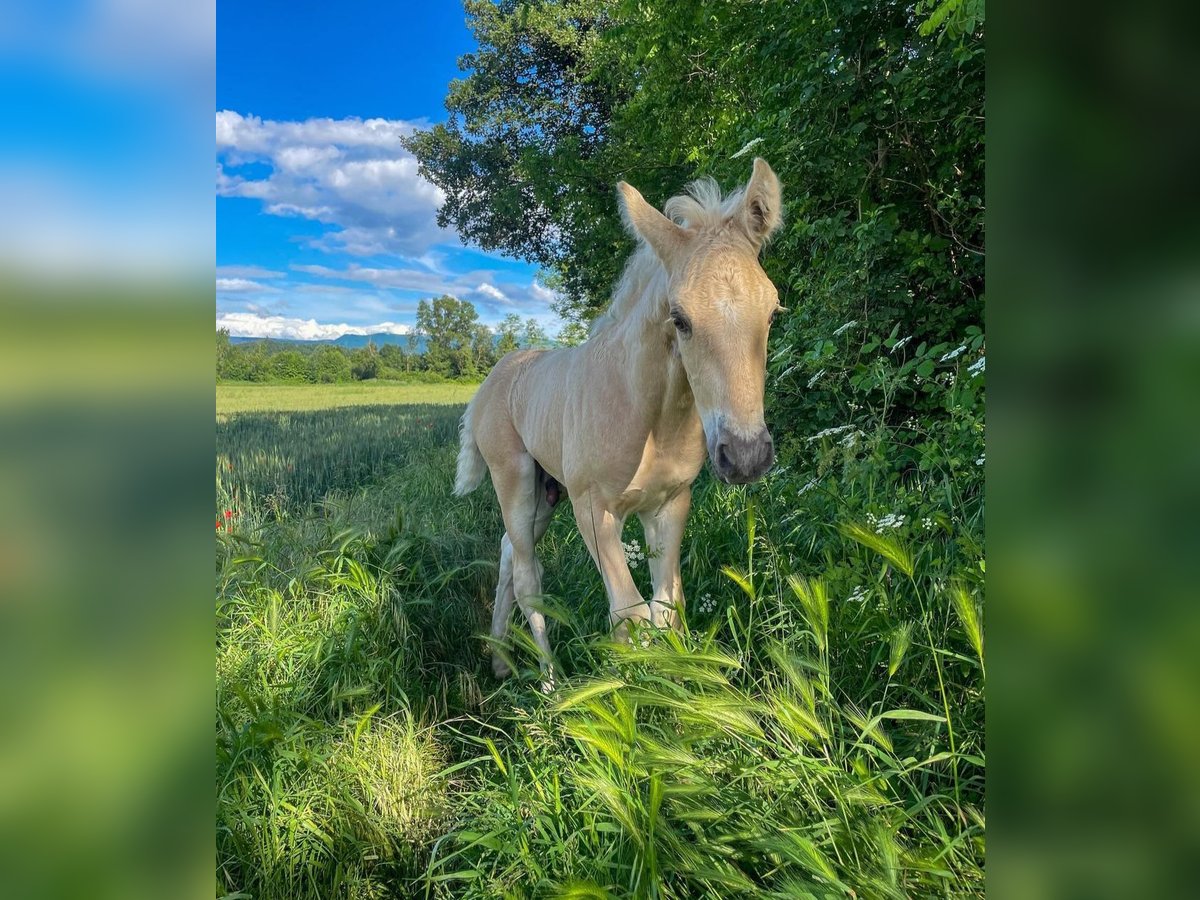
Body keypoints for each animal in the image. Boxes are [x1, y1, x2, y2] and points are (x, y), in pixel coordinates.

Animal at [453, 158, 782, 681]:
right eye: (679, 318)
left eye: (771, 311)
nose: (747, 456)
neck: (649, 419)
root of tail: (494, 376)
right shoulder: (594, 511)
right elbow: (629, 613)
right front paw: (623, 687)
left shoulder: (669, 505)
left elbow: (665, 609)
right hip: (514, 479)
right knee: (527, 575)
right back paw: (551, 684)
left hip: (546, 491)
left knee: (507, 555)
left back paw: (502, 660)